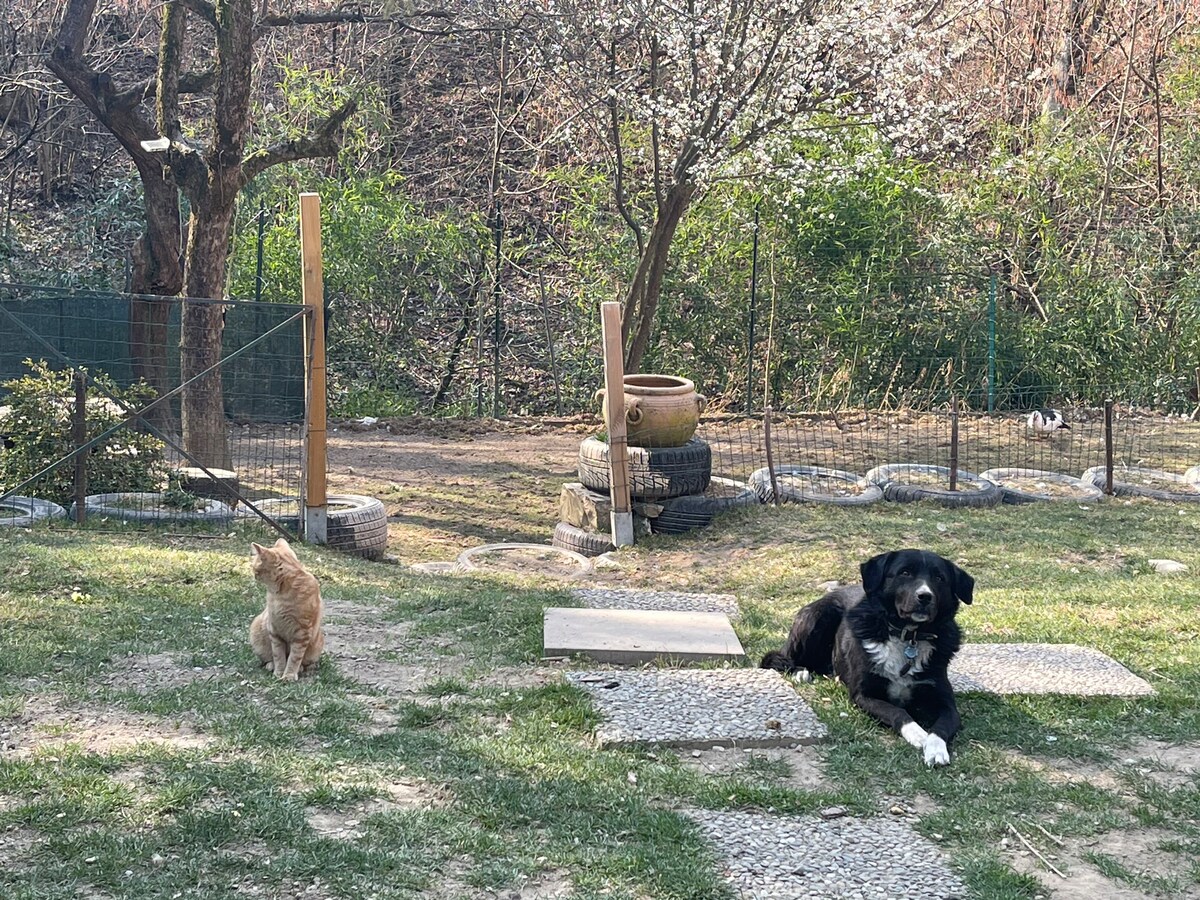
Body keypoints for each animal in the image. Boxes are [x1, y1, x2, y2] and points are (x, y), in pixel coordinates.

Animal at [248, 535, 324, 681]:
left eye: (255, 568)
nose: (253, 575)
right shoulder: (275, 630)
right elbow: (278, 656)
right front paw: (279, 672)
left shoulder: (302, 633)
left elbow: (294, 658)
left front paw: (289, 675)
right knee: (268, 658)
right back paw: (270, 665)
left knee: (308, 663)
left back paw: (302, 668)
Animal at [758, 549, 974, 768]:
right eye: (905, 573)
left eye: (939, 578)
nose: (925, 596)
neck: (907, 635)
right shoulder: (863, 695)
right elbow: (898, 712)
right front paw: (918, 734)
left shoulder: (946, 703)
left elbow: (941, 727)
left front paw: (935, 749)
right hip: (816, 616)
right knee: (778, 657)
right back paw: (800, 671)